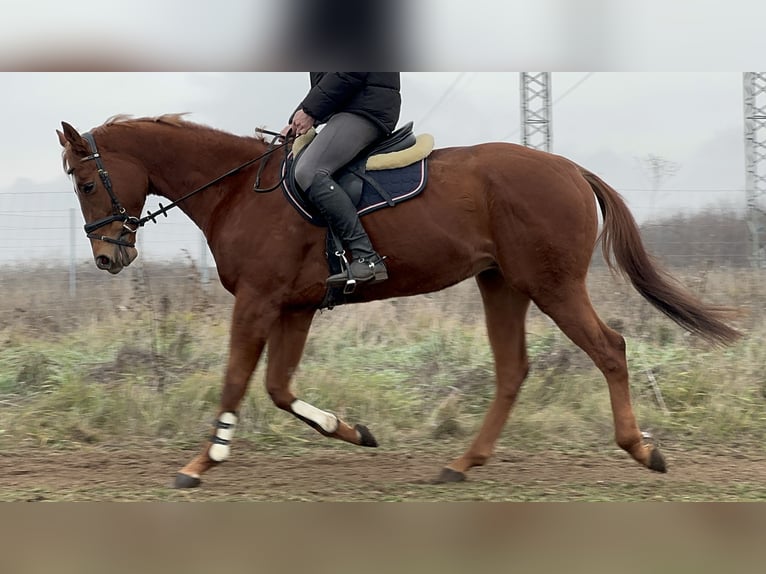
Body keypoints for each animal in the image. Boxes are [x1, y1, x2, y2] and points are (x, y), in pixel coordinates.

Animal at [57, 113, 740, 490]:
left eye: (87, 182)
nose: (109, 258)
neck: (239, 190)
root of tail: (570, 168)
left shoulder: (258, 301)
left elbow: (234, 381)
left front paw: (204, 461)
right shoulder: (295, 308)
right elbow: (278, 387)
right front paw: (353, 431)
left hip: (552, 286)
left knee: (609, 349)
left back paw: (642, 450)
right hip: (503, 286)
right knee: (513, 370)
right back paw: (463, 463)